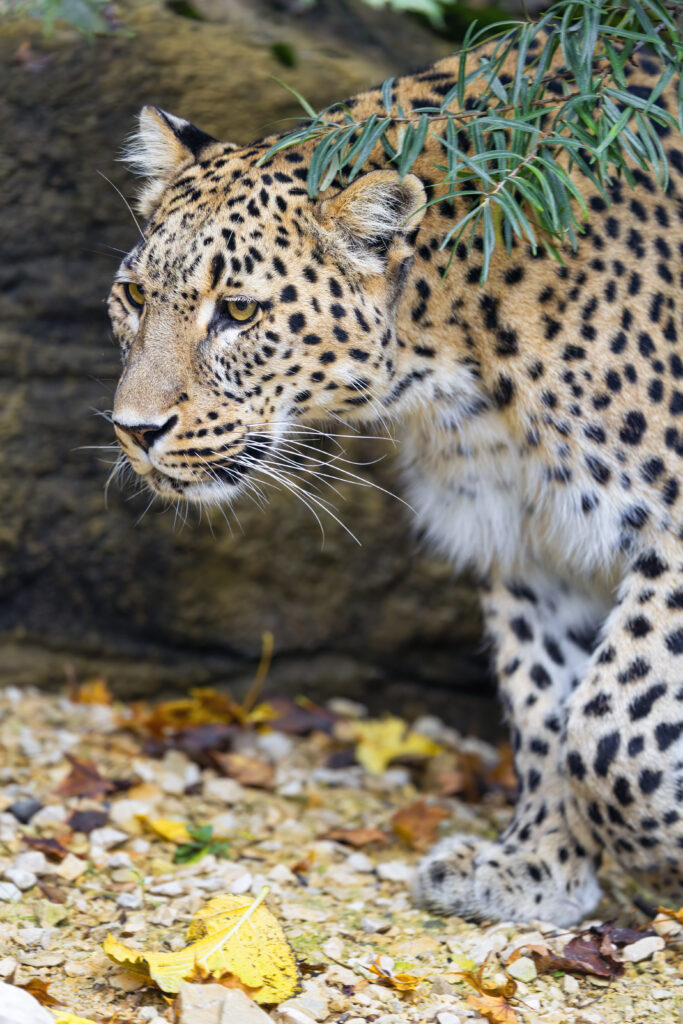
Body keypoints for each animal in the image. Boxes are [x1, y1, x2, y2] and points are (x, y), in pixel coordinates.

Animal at [107, 33, 683, 927]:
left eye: (238, 312)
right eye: (133, 296)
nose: (133, 431)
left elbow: (614, 722)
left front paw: (651, 834)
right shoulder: (526, 536)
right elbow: (547, 705)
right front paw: (536, 868)